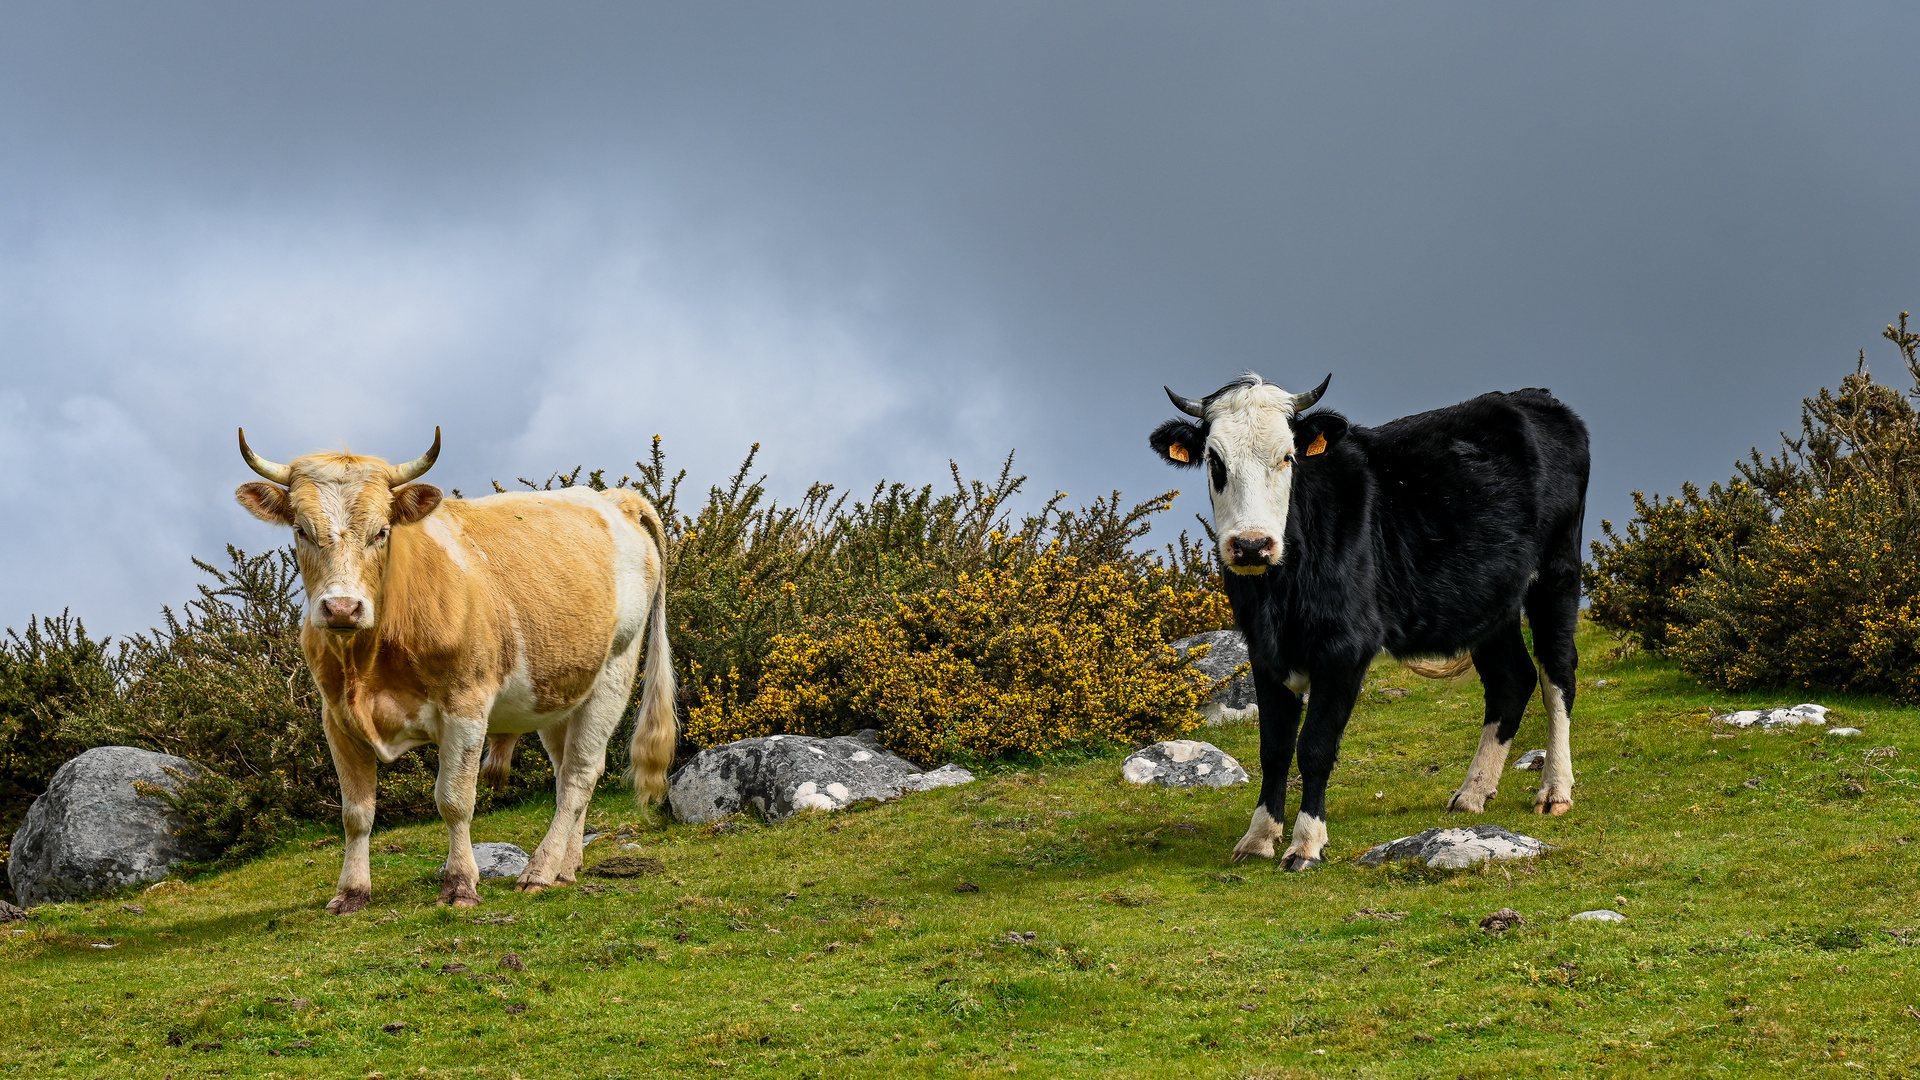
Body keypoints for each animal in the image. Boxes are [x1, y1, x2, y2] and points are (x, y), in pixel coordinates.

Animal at [234, 426, 683, 907]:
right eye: (301, 530)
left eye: (381, 531)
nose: (341, 608)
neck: (368, 663)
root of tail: (613, 498)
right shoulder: (335, 716)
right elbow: (356, 812)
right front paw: (351, 893)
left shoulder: (465, 704)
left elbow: (453, 799)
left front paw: (460, 884)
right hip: (557, 688)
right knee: (569, 770)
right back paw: (567, 865)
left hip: (615, 668)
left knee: (579, 775)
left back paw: (541, 870)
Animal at [1152, 374, 1589, 860]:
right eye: (1215, 460)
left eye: (1287, 456)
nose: (1251, 545)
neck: (1278, 597)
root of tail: (1534, 397)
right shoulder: (1264, 650)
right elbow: (1274, 749)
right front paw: (1259, 837)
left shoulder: (1345, 647)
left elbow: (1315, 747)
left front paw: (1306, 844)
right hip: (1491, 601)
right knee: (1511, 680)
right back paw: (1472, 793)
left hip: (1557, 570)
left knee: (1558, 674)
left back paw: (1554, 790)